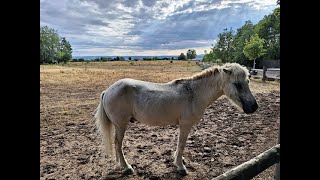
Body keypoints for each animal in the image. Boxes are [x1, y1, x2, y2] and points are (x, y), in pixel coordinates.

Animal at [94, 62, 258, 175]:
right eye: (237, 84)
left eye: (248, 82)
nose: (254, 107)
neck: (194, 94)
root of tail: (107, 90)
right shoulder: (185, 125)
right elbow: (182, 144)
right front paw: (180, 166)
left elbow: (180, 145)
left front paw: (179, 160)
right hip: (121, 124)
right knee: (118, 144)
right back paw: (127, 167)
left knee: (117, 145)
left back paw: (121, 165)